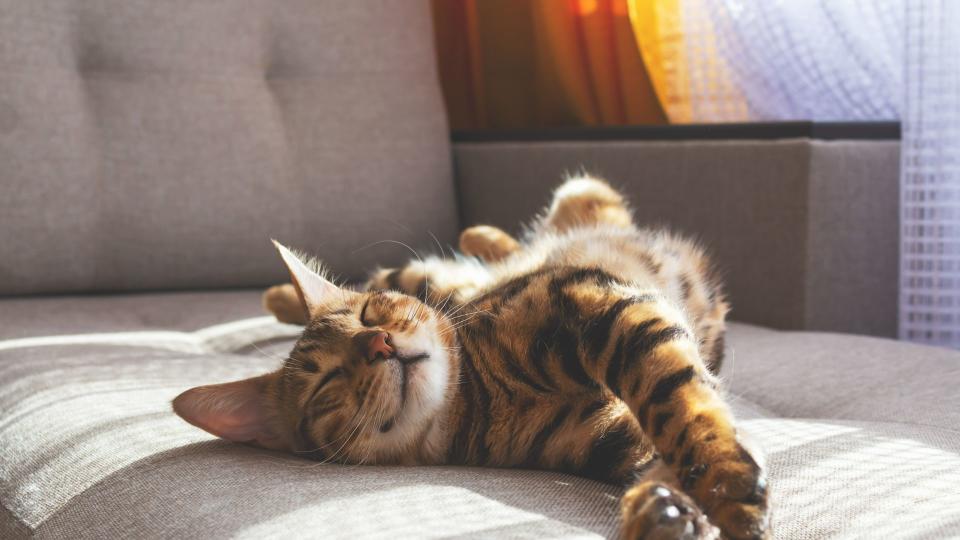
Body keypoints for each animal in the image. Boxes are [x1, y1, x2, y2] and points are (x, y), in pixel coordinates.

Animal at [174, 178, 772, 540]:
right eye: (326, 383)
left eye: (368, 316)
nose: (379, 343)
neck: (481, 396)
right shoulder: (612, 437)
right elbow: (667, 438)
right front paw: (664, 511)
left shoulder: (597, 300)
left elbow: (680, 405)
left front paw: (727, 489)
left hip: (490, 248)